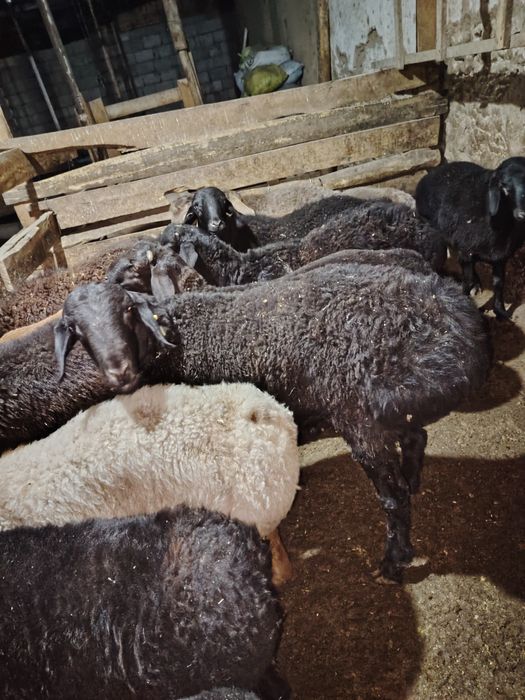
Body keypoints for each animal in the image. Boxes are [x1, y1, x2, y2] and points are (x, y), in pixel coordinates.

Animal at [49, 263, 490, 582]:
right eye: (76, 330)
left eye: (126, 311)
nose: (118, 372)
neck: (175, 339)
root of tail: (453, 316)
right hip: (391, 407)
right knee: (416, 437)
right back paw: (414, 482)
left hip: (362, 415)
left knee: (393, 495)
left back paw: (394, 561)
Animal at [415, 156, 525, 319]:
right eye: (503, 186)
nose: (522, 214)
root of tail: (432, 173)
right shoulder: (467, 251)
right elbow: (466, 281)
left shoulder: (501, 256)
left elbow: (499, 283)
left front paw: (500, 311)